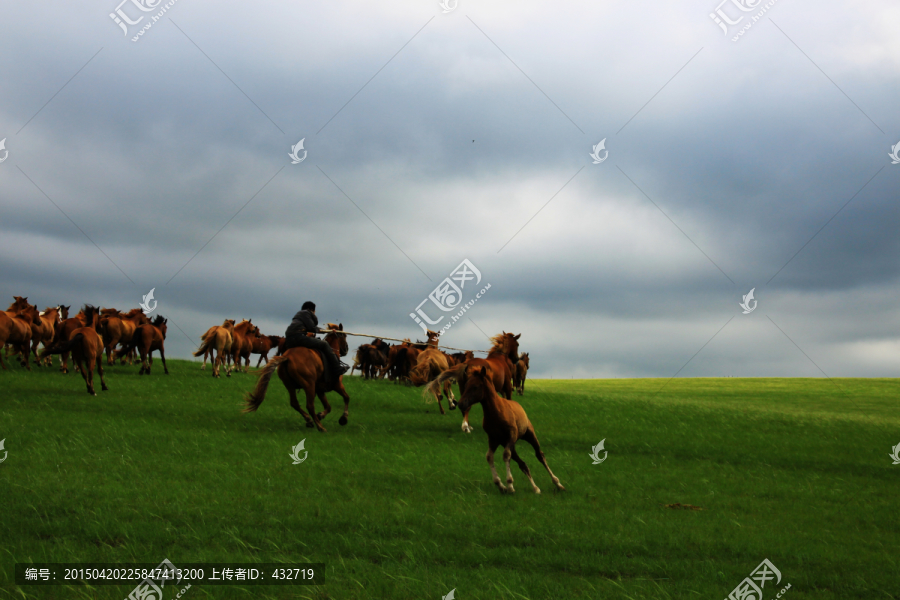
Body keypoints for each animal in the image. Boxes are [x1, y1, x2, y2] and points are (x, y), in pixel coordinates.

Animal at [458, 364, 564, 494]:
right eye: (465, 386)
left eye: (475, 387)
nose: (460, 404)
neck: (496, 412)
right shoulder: (494, 439)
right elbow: (489, 457)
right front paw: (500, 485)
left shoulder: (511, 435)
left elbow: (505, 455)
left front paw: (509, 485)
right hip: (507, 443)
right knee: (523, 464)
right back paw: (535, 488)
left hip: (528, 435)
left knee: (540, 455)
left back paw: (558, 483)